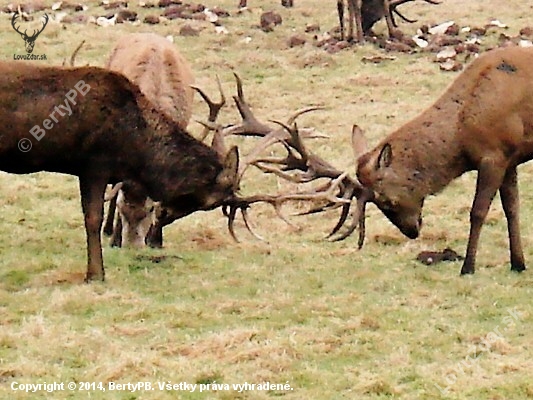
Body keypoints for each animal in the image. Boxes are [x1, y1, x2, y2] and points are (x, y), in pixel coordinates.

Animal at [354, 44, 532, 276]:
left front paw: (468, 267)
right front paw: (518, 264)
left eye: (387, 200)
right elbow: (512, 209)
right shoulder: (509, 157)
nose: (411, 232)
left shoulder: (493, 155)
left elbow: (478, 211)